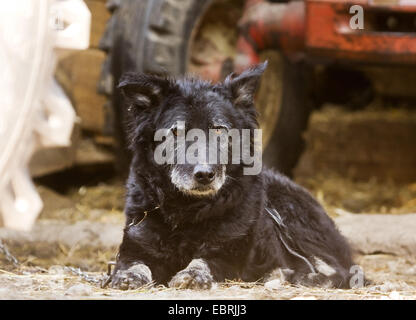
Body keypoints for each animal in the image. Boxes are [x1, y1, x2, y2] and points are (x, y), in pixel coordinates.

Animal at [109, 62, 358, 290]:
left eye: (219, 129)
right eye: (176, 132)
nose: (204, 175)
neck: (188, 209)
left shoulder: (228, 253)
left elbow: (203, 261)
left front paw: (193, 275)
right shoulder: (137, 246)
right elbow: (135, 264)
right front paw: (127, 277)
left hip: (290, 217)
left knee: (337, 269)